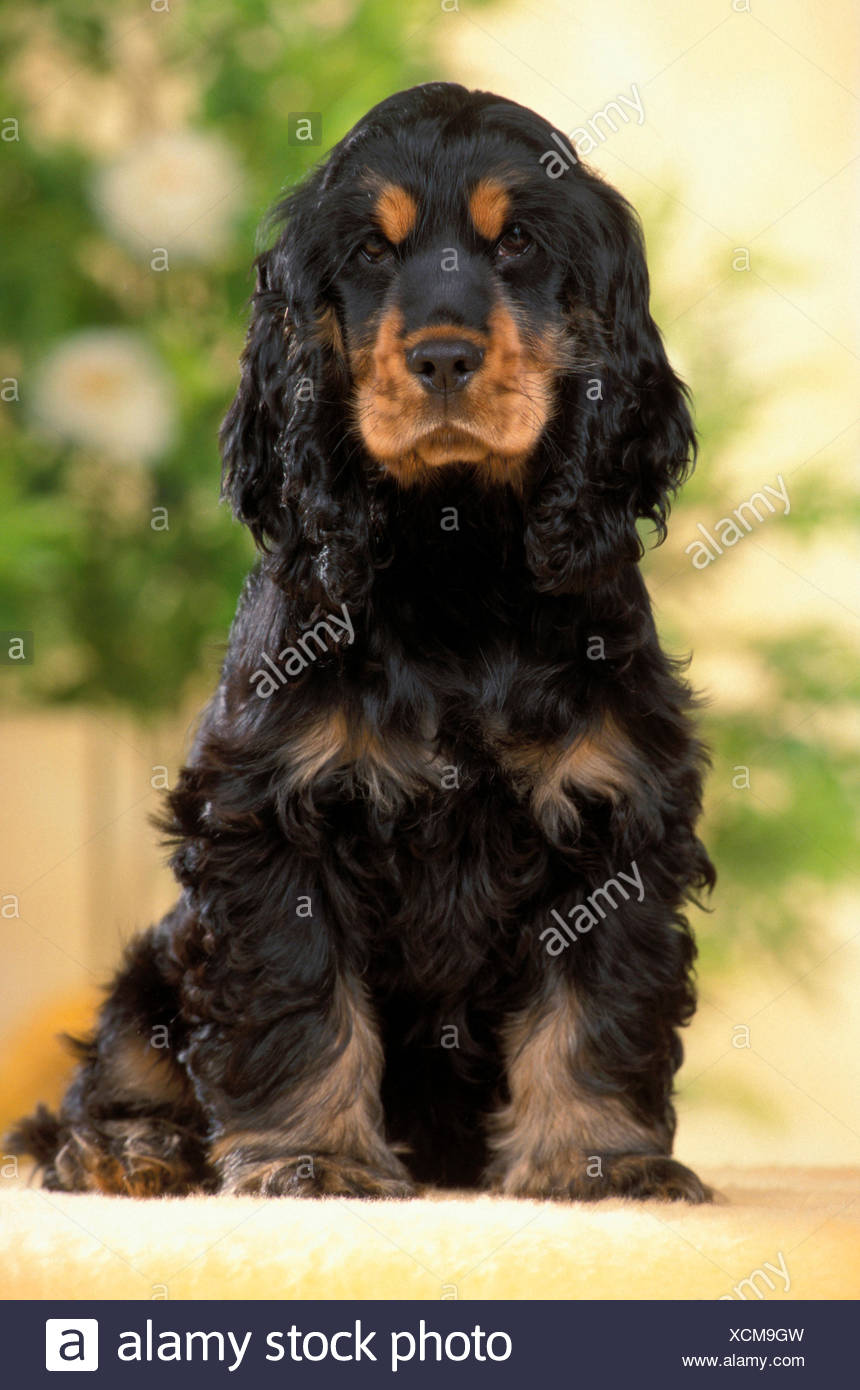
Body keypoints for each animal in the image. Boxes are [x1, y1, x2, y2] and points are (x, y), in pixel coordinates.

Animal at [13, 81, 716, 1200]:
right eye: (373, 252)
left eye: (517, 242)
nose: (442, 356)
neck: (455, 556)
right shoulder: (270, 813)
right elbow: (299, 1002)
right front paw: (313, 1158)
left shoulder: (617, 810)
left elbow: (595, 1003)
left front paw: (599, 1164)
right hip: (157, 958)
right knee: (111, 1062)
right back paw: (123, 1149)